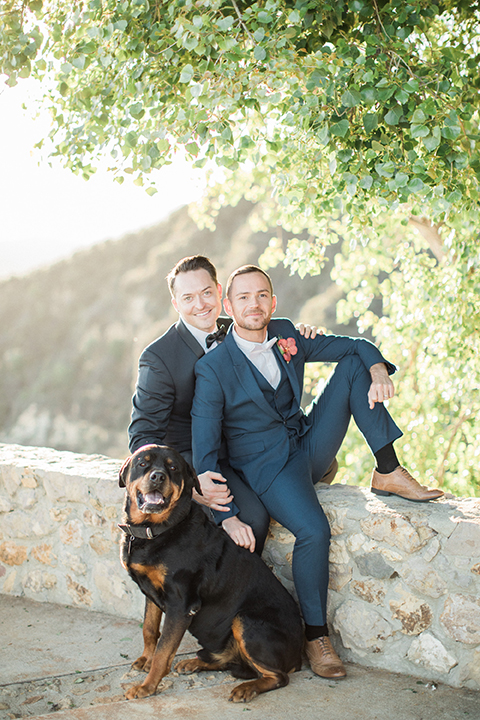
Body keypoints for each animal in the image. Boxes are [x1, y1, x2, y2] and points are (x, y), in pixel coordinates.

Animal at [118, 444, 302, 704]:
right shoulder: (151, 591)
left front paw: (147, 686)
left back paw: (246, 689)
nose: (158, 477)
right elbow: (150, 629)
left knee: (277, 676)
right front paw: (146, 659)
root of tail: (300, 655)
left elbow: (164, 649)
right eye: (142, 463)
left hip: (245, 620)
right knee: (231, 661)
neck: (158, 529)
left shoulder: (181, 605)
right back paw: (193, 663)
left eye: (173, 467)